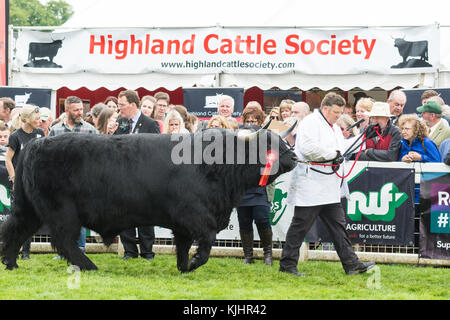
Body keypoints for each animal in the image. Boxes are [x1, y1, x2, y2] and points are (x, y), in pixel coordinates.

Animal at [0, 129, 298, 272]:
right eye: (276, 145)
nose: (296, 156)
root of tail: (34, 145)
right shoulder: (196, 216)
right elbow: (206, 242)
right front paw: (194, 263)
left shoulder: (183, 223)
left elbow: (183, 246)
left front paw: (183, 267)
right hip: (62, 212)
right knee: (63, 241)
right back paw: (89, 265)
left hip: (29, 209)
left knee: (14, 230)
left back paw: (11, 263)